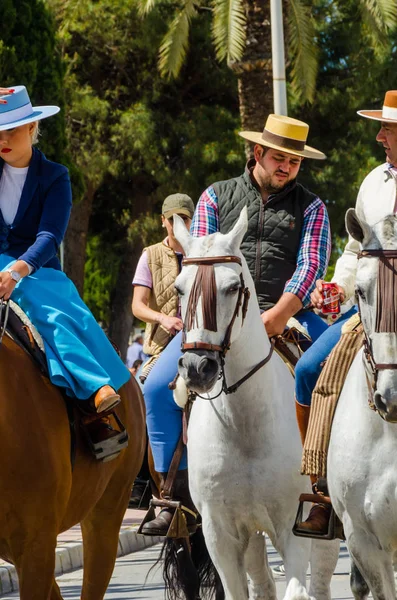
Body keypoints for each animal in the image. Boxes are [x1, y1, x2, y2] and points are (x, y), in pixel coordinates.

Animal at [173, 210, 338, 600]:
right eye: (179, 288)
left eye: (233, 287)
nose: (198, 367)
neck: (242, 425)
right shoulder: (221, 535)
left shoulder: (294, 528)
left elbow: (297, 589)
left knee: (321, 582)